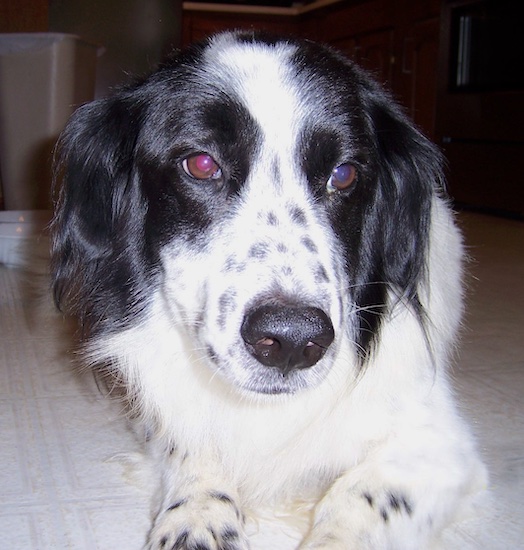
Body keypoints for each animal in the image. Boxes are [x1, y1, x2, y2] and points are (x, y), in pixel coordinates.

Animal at [52, 31, 488, 550]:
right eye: (201, 164)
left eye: (344, 174)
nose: (292, 341)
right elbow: (192, 445)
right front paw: (196, 517)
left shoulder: (439, 444)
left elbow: (356, 499)